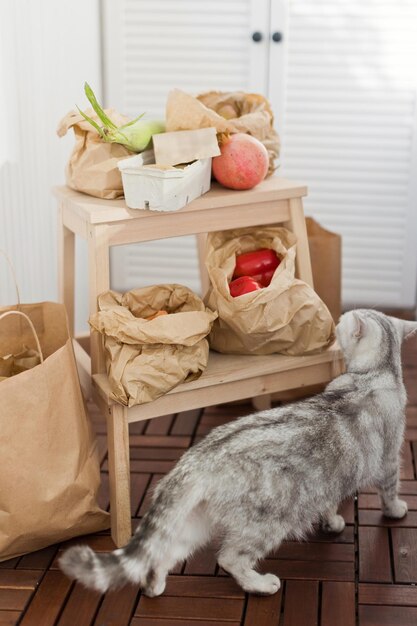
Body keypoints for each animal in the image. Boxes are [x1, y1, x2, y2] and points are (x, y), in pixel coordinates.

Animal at [60, 310, 414, 592]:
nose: (336, 318)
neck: (376, 373)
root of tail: (195, 461)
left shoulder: (329, 481)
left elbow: (328, 503)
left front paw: (333, 522)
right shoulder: (388, 462)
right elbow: (389, 491)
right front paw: (395, 510)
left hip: (194, 523)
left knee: (162, 553)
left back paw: (154, 586)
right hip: (267, 523)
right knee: (229, 558)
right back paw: (261, 584)